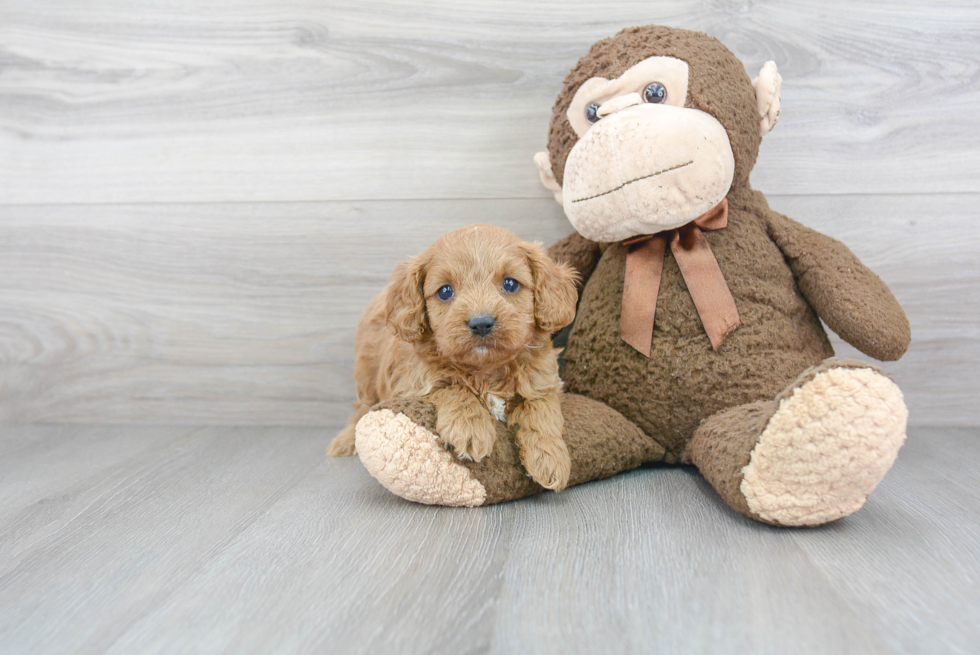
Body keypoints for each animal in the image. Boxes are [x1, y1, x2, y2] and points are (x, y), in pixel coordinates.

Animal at [326, 223, 580, 490]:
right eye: (445, 291)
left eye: (510, 284)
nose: (481, 323)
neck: (485, 369)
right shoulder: (415, 383)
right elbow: (453, 387)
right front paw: (469, 428)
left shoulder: (543, 381)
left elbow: (541, 409)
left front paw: (550, 458)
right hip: (366, 375)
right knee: (361, 407)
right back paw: (345, 440)